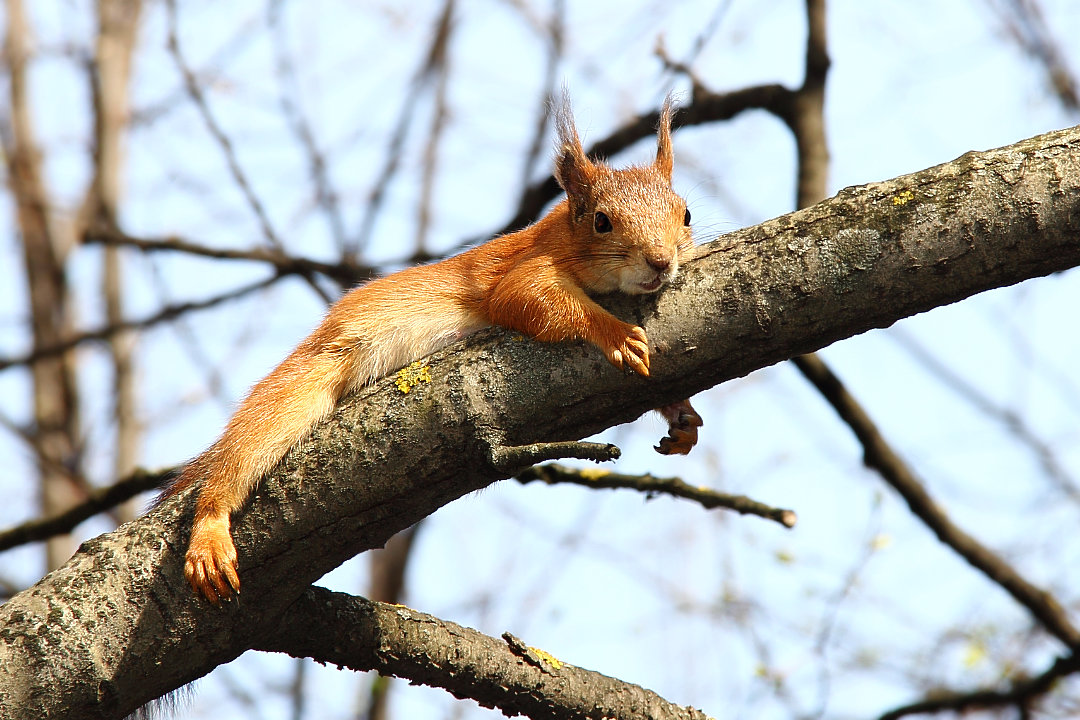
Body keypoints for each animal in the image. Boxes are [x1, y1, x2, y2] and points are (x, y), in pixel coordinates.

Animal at [170, 95, 699, 604]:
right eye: (602, 222)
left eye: (687, 215)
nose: (660, 261)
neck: (559, 235)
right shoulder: (521, 272)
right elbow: (531, 300)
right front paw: (616, 334)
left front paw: (681, 413)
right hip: (306, 377)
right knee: (247, 445)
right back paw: (210, 527)